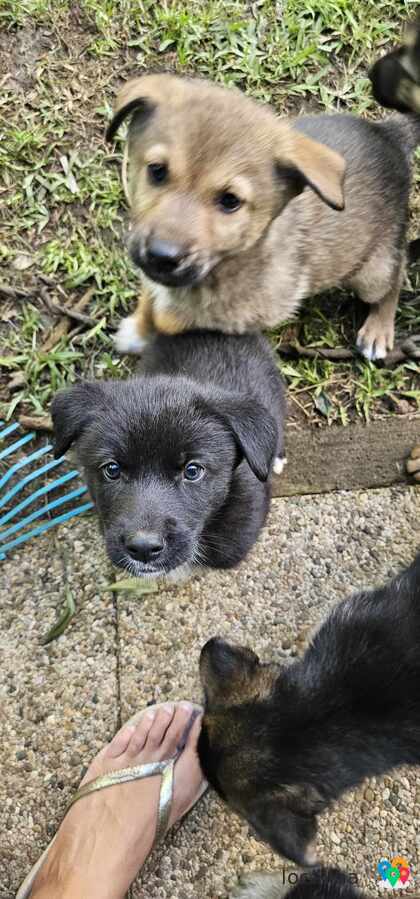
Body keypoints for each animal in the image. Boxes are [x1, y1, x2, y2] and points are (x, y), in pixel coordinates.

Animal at [107, 25, 420, 362]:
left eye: (230, 201)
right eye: (157, 170)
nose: (161, 256)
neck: (229, 263)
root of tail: (389, 135)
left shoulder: (248, 313)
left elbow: (175, 320)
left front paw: (154, 329)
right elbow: (150, 296)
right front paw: (139, 327)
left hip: (371, 271)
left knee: (396, 275)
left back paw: (378, 329)